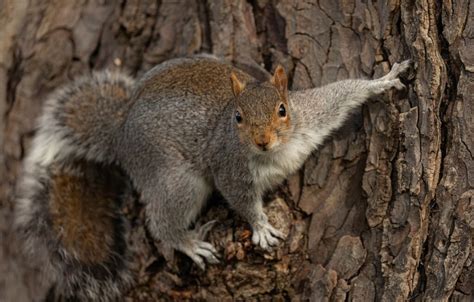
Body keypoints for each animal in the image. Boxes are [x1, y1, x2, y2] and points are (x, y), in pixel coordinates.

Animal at [14, 56, 412, 300]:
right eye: (237, 118)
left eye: (282, 110)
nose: (261, 140)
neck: (276, 152)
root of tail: (121, 133)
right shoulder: (229, 168)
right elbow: (241, 200)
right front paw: (261, 227)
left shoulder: (312, 114)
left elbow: (342, 93)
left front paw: (384, 80)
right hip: (179, 179)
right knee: (160, 222)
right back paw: (188, 243)